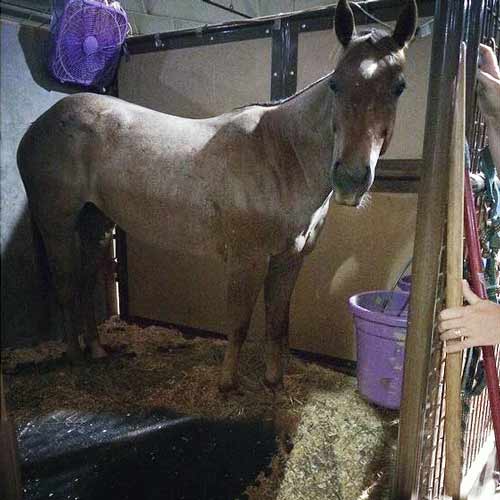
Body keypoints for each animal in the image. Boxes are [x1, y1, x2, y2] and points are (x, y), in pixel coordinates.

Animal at [16, 0, 418, 390]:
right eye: (335, 84)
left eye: (399, 87)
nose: (350, 179)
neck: (281, 155)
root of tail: (40, 123)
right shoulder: (247, 260)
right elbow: (238, 324)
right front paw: (227, 384)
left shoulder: (290, 260)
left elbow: (277, 323)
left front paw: (273, 382)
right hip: (57, 225)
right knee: (66, 285)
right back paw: (75, 358)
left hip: (95, 224)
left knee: (84, 283)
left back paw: (97, 350)